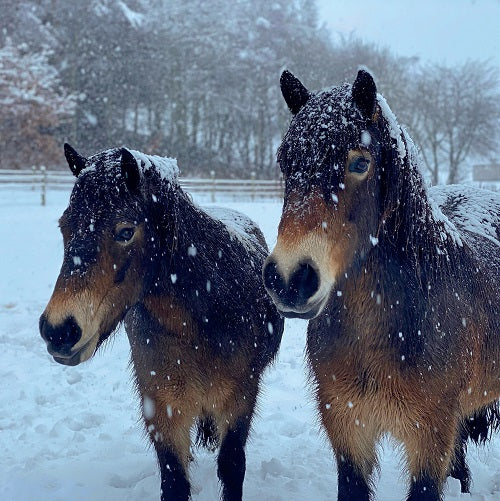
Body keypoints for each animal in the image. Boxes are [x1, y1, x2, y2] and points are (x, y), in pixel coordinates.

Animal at [39, 143, 284, 498]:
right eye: (64, 226)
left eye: (126, 231)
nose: (58, 331)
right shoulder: (163, 406)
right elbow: (174, 479)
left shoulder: (240, 399)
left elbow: (232, 465)